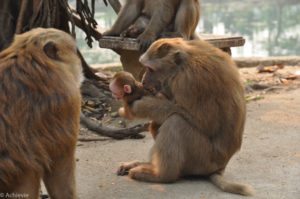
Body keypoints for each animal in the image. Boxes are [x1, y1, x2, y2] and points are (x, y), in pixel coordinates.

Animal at [117, 37, 255, 196]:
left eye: (150, 69)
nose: (144, 80)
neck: (182, 66)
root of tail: (220, 167)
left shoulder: (191, 80)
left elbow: (205, 122)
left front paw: (138, 107)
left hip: (202, 160)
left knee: (175, 122)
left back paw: (162, 176)